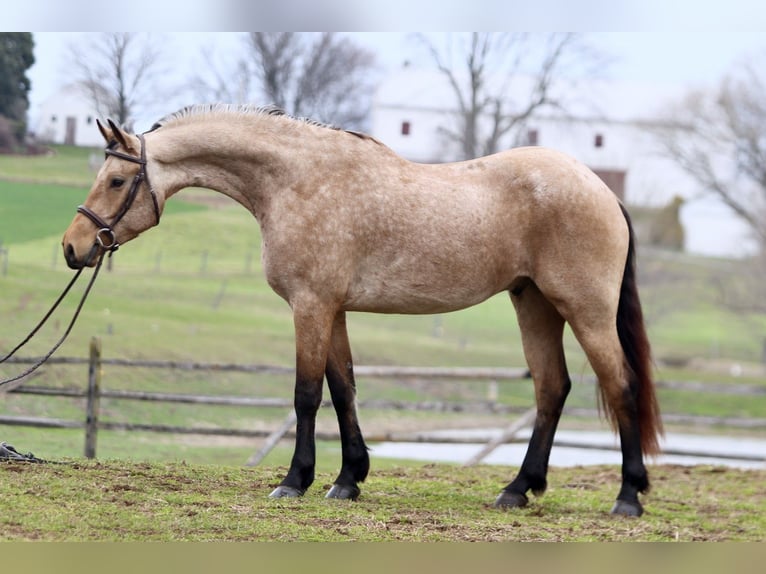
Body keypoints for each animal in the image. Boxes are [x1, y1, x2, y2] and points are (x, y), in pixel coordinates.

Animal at [61, 104, 663, 517]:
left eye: (116, 180)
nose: (72, 247)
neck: (298, 180)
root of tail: (601, 190)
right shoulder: (334, 310)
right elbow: (343, 387)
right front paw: (348, 480)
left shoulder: (310, 305)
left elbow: (306, 395)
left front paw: (295, 480)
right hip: (533, 303)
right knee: (551, 389)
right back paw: (517, 489)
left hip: (585, 310)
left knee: (620, 385)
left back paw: (628, 496)